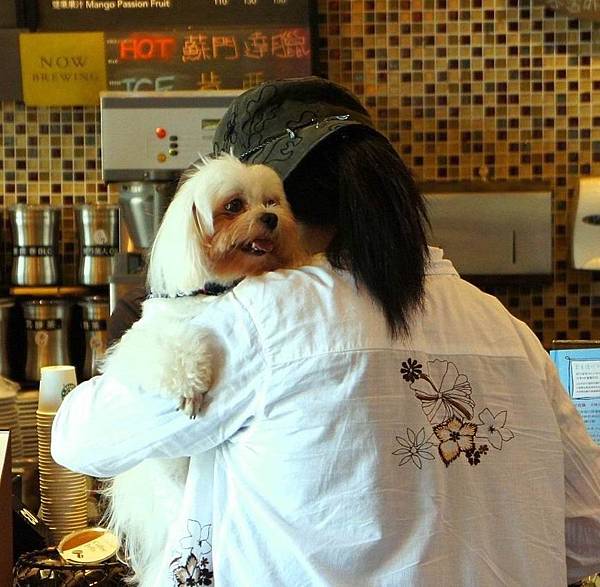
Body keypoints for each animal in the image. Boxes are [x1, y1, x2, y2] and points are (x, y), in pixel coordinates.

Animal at [99, 154, 310, 584]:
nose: (270, 219)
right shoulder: (138, 344)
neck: (215, 290)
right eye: (234, 205)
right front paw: (189, 386)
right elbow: (168, 350)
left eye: (272, 202)